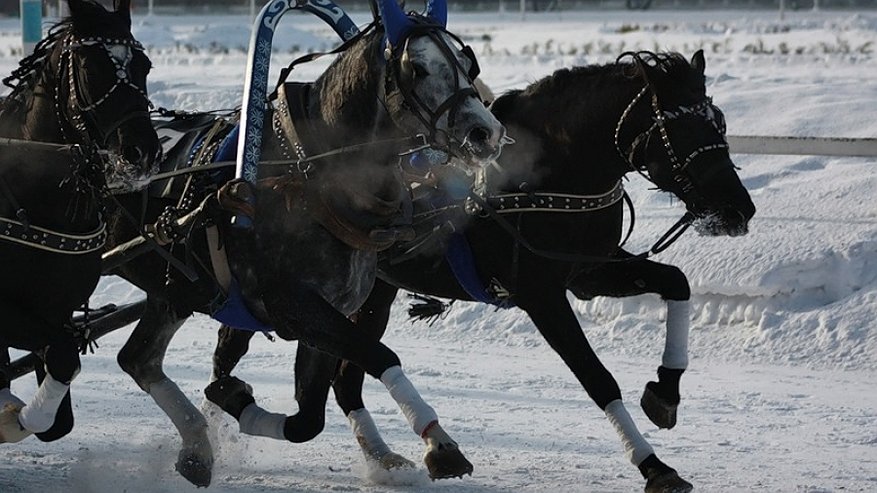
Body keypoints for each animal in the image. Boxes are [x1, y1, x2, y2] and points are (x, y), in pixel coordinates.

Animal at [101, 0, 506, 486]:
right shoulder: (294, 305)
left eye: (467, 62)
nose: (486, 132)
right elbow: (377, 353)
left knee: (139, 359)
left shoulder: (327, 311)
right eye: (418, 67)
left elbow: (308, 420)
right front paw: (439, 442)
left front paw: (234, 398)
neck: (309, 175)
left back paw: (197, 447)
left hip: (174, 291)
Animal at [210, 48, 752, 490]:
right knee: (277, 362)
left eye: (720, 122)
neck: (539, 176)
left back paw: (383, 458)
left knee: (345, 378)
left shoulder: (588, 273)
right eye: (681, 127)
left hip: (374, 292)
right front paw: (653, 465)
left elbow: (676, 282)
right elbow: (596, 377)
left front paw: (665, 391)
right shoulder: (541, 294)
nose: (739, 208)